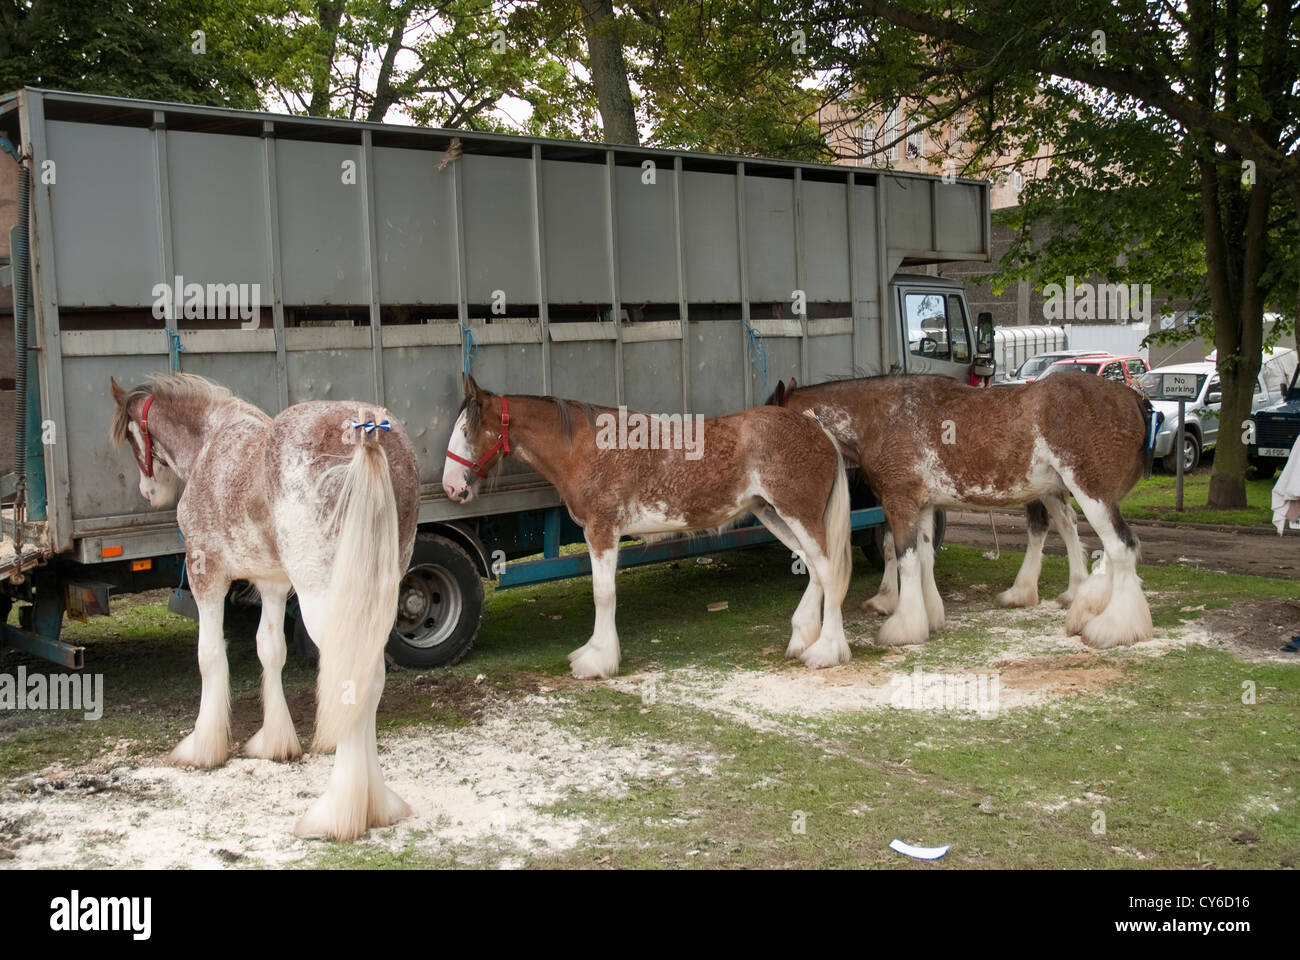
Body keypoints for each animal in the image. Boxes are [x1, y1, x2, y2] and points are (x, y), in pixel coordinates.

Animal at [110, 373, 419, 841]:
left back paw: (340, 814)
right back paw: (376, 805)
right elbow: (270, 651)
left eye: (132, 436)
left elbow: (209, 656)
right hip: (377, 595)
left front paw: (203, 747)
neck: (210, 444)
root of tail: (368, 434)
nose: (149, 492)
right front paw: (274, 742)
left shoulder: (205, 573)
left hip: (326, 600)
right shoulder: (273, 585)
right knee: (369, 678)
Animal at [442, 375, 854, 674]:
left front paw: (598, 661)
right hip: (775, 514)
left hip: (799, 514)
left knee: (828, 570)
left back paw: (826, 652)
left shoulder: (602, 531)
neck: (586, 448)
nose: (451, 487)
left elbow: (603, 594)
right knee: (814, 568)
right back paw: (803, 639)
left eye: (467, 432)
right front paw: (593, 653)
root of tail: (817, 429)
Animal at [769, 372, 1155, 650]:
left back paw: (1112, 627)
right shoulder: (924, 505)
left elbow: (905, 556)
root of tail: (1134, 399)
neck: (883, 419)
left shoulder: (899, 501)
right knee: (1082, 536)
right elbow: (924, 557)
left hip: (1091, 493)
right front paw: (929, 616)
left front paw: (903, 626)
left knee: (1120, 547)